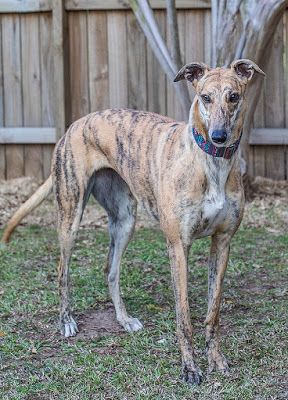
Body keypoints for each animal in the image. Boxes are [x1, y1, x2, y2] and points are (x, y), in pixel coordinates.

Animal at [2, 59, 264, 384]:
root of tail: (75, 124)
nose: (218, 136)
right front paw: (189, 368)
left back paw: (124, 319)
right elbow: (184, 316)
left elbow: (212, 311)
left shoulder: (223, 242)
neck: (211, 163)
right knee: (63, 269)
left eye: (233, 97)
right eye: (205, 97)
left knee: (110, 270)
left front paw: (215, 359)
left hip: (125, 219)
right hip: (70, 215)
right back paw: (66, 321)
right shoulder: (178, 246)